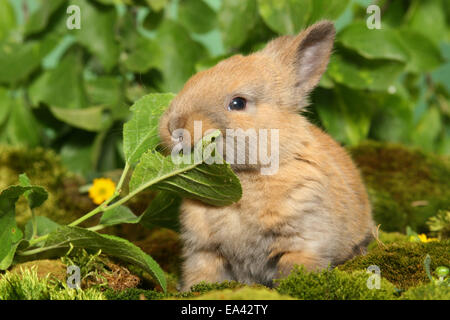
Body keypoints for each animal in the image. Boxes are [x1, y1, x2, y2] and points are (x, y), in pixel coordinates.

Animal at [158, 19, 376, 290]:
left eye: (238, 103)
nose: (173, 126)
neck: (245, 179)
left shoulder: (302, 244)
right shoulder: (203, 252)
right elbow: (200, 277)